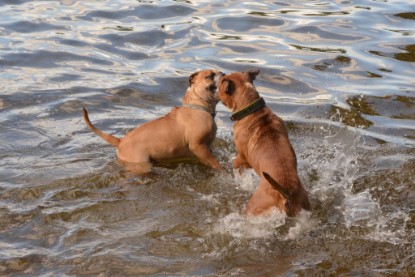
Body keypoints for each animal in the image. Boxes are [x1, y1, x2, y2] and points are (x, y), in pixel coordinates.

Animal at [82, 69, 224, 172]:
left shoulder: (206, 147)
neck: (198, 105)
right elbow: (214, 162)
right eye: (210, 76)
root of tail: (120, 141)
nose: (223, 73)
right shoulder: (198, 146)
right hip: (142, 164)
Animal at [219, 69, 310, 216]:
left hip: (254, 205)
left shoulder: (242, 158)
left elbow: (236, 164)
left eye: (221, 82)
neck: (253, 109)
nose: (221, 74)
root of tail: (287, 192)